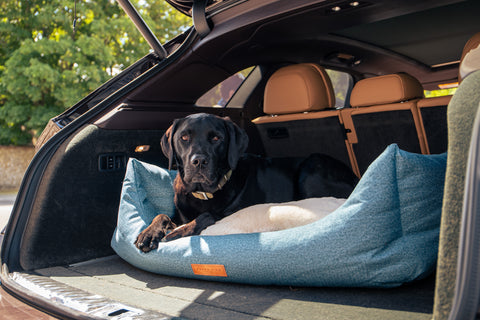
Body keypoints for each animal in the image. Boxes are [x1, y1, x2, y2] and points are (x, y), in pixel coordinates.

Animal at [134, 113, 356, 252]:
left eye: (216, 138)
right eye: (184, 137)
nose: (198, 161)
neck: (202, 193)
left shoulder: (229, 212)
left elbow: (206, 215)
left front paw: (178, 232)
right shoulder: (179, 213)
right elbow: (161, 215)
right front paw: (148, 234)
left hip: (311, 167)